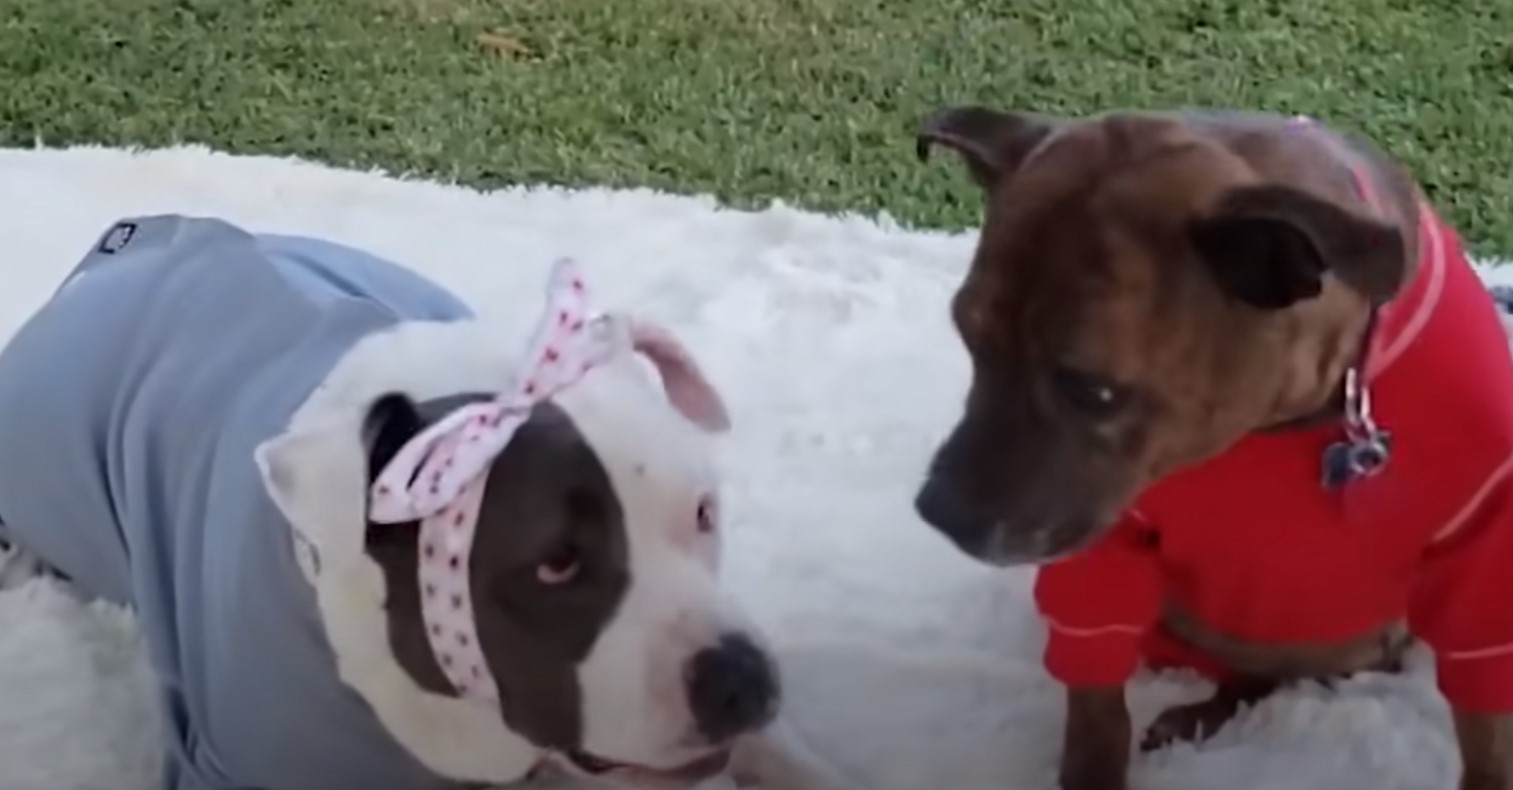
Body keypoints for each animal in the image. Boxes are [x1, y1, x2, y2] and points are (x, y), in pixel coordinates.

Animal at [907, 102, 1513, 786]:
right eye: (967, 337)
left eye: (1094, 391)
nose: (937, 510)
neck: (1292, 414)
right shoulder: (1102, 560)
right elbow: (1096, 707)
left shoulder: (1484, 560)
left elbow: (1486, 727)